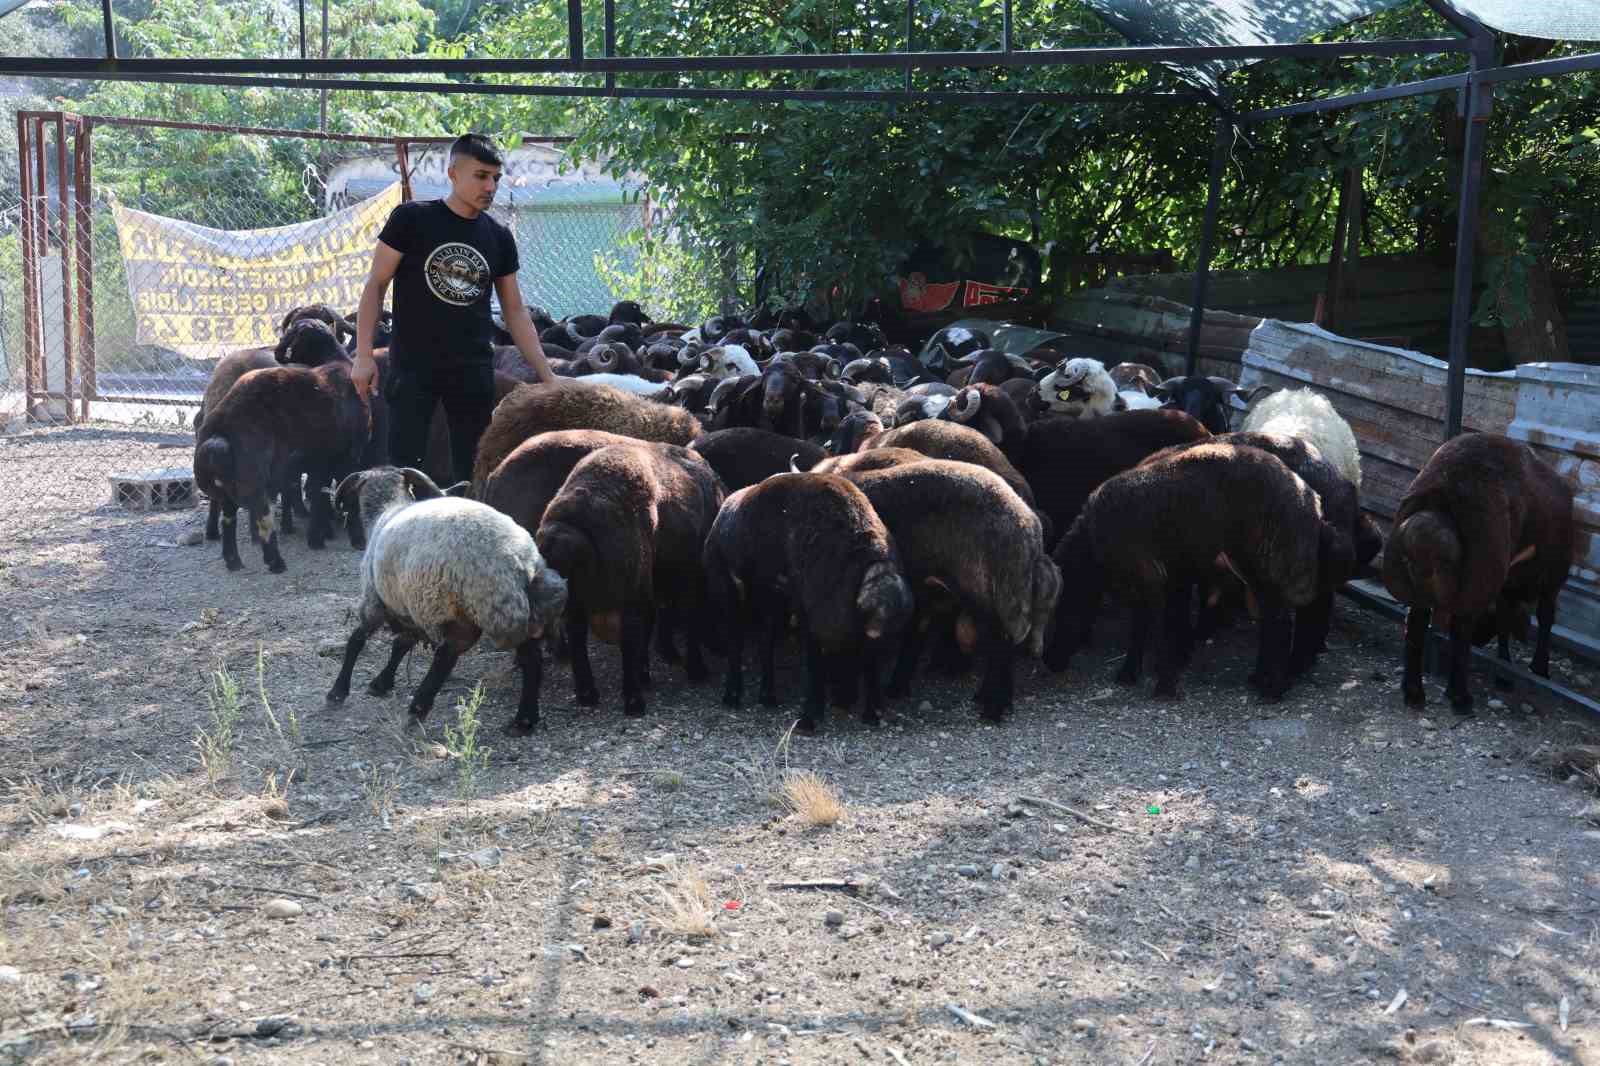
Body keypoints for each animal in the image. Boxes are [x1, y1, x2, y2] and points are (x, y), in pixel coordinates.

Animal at [324, 464, 569, 729]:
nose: (355, 542)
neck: (385, 512)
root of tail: (522, 564)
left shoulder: (374, 600)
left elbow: (356, 641)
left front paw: (338, 692)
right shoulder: (408, 607)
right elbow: (401, 644)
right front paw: (382, 682)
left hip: (470, 609)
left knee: (446, 657)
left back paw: (418, 708)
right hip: (526, 615)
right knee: (531, 659)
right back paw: (524, 720)